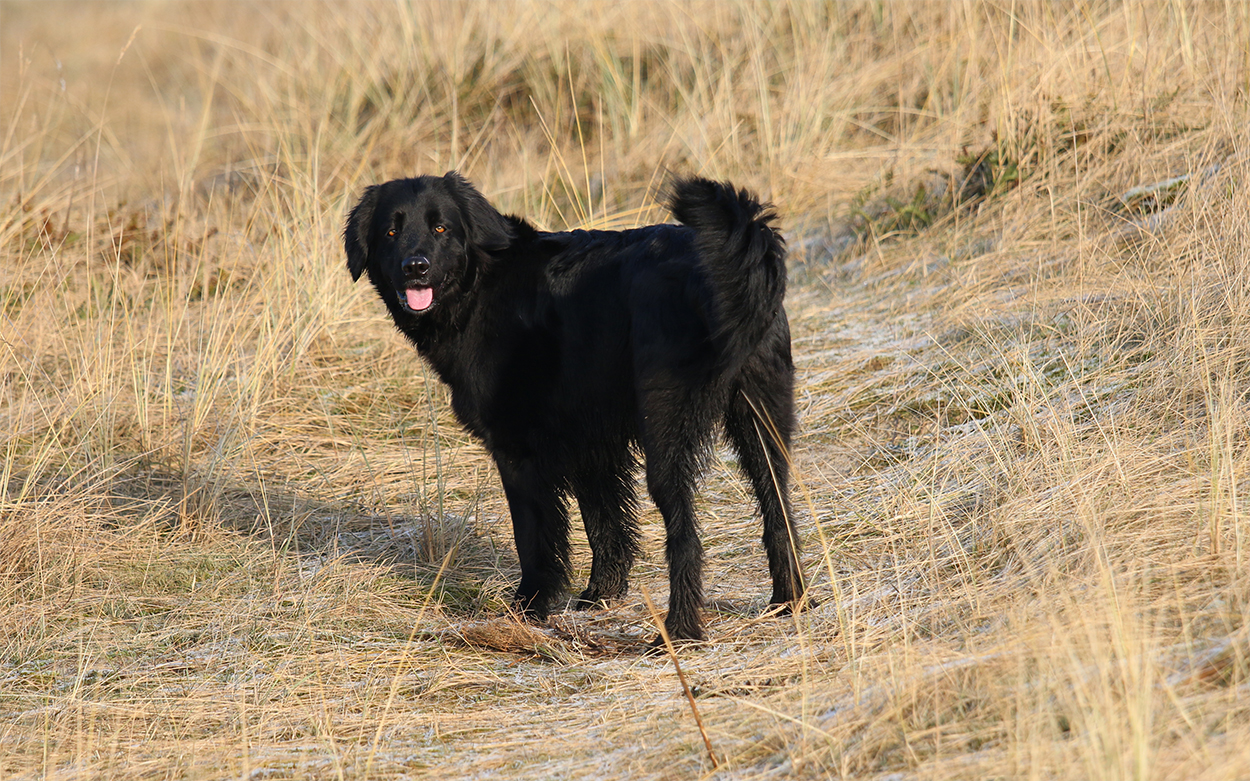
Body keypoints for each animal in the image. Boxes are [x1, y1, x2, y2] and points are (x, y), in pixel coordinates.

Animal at [344, 172, 804, 642]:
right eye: (391, 232)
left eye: (440, 228)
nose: (414, 267)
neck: (480, 286)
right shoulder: (592, 444)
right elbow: (605, 525)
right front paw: (601, 594)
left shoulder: (520, 452)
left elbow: (535, 538)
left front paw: (528, 608)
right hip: (762, 420)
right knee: (779, 512)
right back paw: (789, 601)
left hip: (666, 428)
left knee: (686, 536)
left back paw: (678, 630)